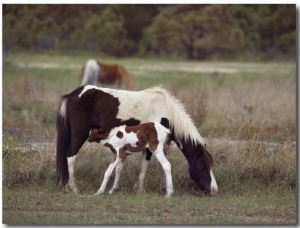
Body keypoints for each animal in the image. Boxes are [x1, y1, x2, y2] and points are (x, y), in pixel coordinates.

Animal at [56, 85, 219, 196]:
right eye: (203, 166)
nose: (214, 190)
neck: (165, 111)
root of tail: (73, 95)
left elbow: (160, 166)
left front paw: (164, 188)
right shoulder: (150, 146)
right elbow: (145, 166)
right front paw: (140, 189)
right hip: (79, 135)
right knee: (70, 157)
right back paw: (73, 187)